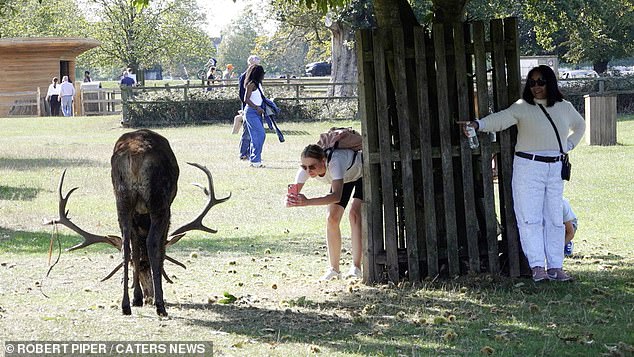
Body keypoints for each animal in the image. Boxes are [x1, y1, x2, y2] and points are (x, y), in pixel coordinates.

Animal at [46, 129, 230, 316]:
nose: (149, 296)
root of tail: (135, 156)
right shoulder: (167, 212)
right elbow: (160, 249)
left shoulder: (135, 217)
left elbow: (134, 251)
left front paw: (137, 298)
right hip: (158, 200)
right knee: (152, 243)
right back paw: (160, 306)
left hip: (122, 199)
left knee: (125, 246)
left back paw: (126, 305)